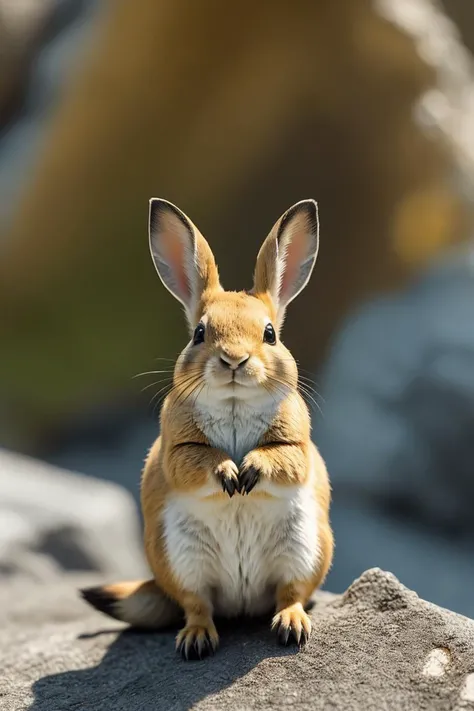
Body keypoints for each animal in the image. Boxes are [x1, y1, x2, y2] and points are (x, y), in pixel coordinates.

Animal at [81, 196, 334, 660]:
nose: (234, 360)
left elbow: (279, 457)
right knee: (198, 605)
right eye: (200, 333)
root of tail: (241, 602)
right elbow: (199, 460)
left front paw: (246, 473)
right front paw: (230, 476)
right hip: (182, 560)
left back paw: (291, 627)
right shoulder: (178, 448)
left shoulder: (296, 444)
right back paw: (196, 642)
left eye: (269, 334)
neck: (234, 404)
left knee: (289, 594)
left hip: (305, 549)